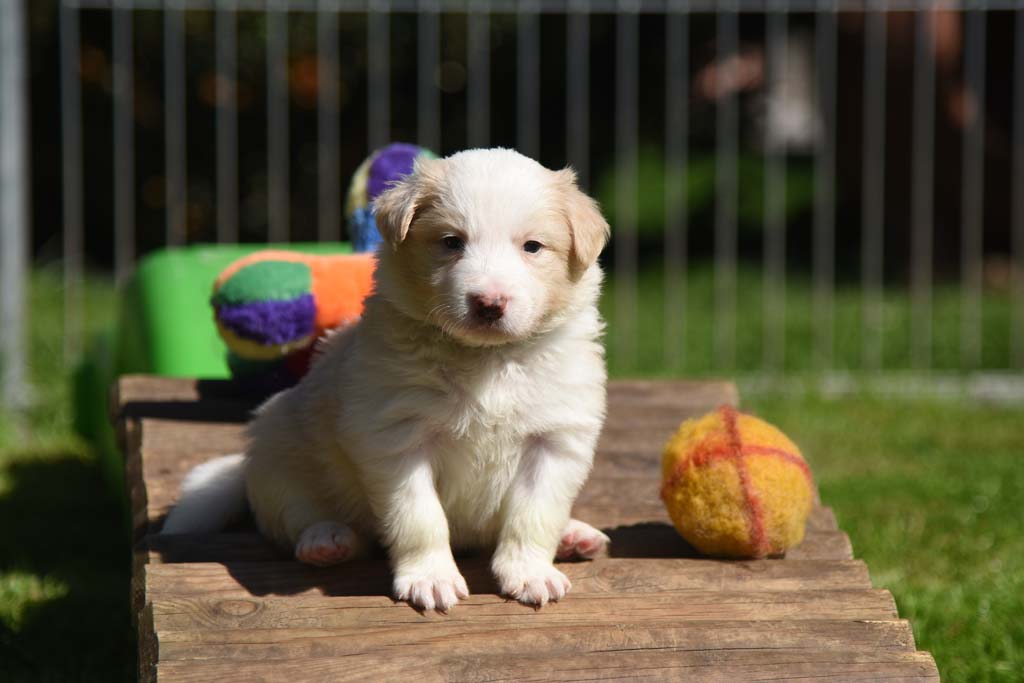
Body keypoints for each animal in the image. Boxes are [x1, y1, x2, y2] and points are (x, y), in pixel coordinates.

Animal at [164, 147, 610, 610]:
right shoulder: (396, 439)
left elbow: (534, 515)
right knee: (296, 515)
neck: (486, 359)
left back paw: (575, 535)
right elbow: (420, 517)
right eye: (451, 242)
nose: (489, 303)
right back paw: (326, 539)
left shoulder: (554, 441)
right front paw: (431, 578)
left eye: (532, 247)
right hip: (277, 447)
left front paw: (530, 573)